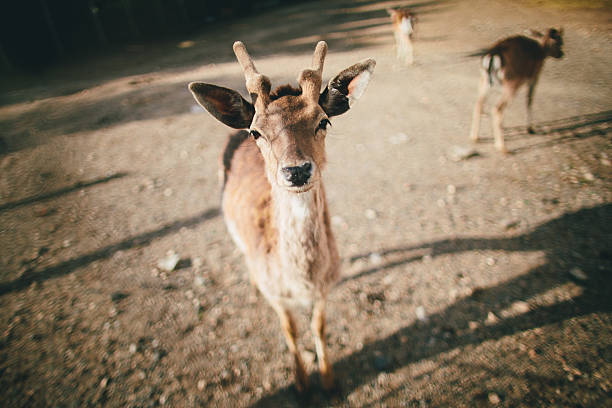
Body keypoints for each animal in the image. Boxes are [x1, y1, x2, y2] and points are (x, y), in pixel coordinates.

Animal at [189, 41, 376, 392]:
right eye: (257, 132)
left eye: (323, 121)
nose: (297, 170)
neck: (301, 280)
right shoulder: (277, 295)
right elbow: (290, 330)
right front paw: (301, 385)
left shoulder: (326, 286)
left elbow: (319, 327)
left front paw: (328, 381)